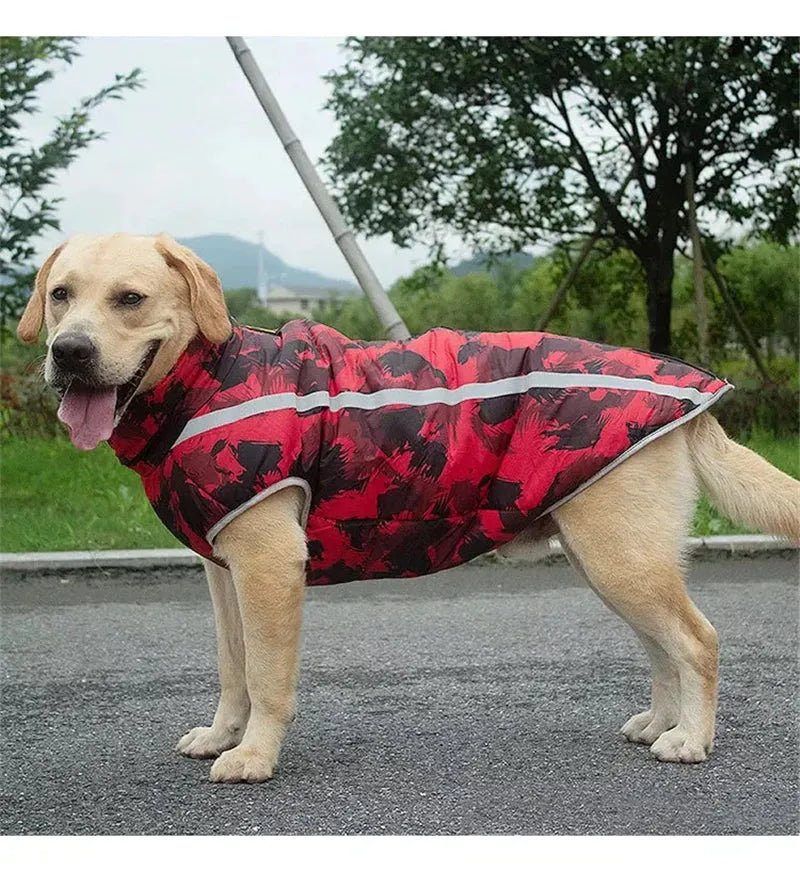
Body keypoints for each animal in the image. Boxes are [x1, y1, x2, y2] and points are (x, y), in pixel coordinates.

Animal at [18, 232, 800, 784]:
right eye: (60, 294)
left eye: (130, 298)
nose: (70, 352)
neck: (204, 378)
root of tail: (693, 393)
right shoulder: (222, 572)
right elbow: (232, 667)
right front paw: (222, 734)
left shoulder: (269, 566)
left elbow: (267, 675)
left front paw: (255, 756)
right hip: (610, 556)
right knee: (662, 644)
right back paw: (662, 723)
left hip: (620, 557)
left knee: (697, 641)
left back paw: (691, 740)